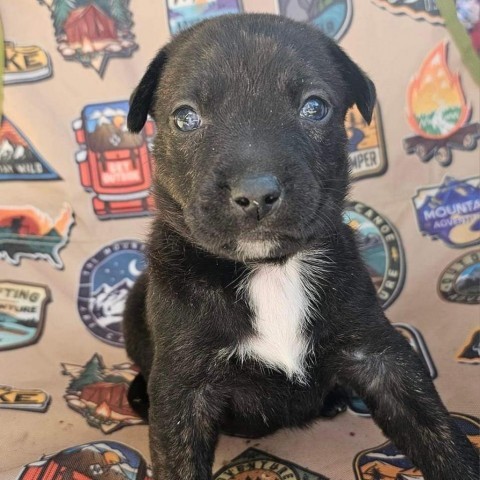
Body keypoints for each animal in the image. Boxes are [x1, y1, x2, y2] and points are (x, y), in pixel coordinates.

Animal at [123, 14, 476, 480]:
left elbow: (435, 428)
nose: (255, 193)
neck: (272, 268)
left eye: (314, 107)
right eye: (185, 118)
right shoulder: (183, 392)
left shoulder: (380, 355)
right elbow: (178, 462)